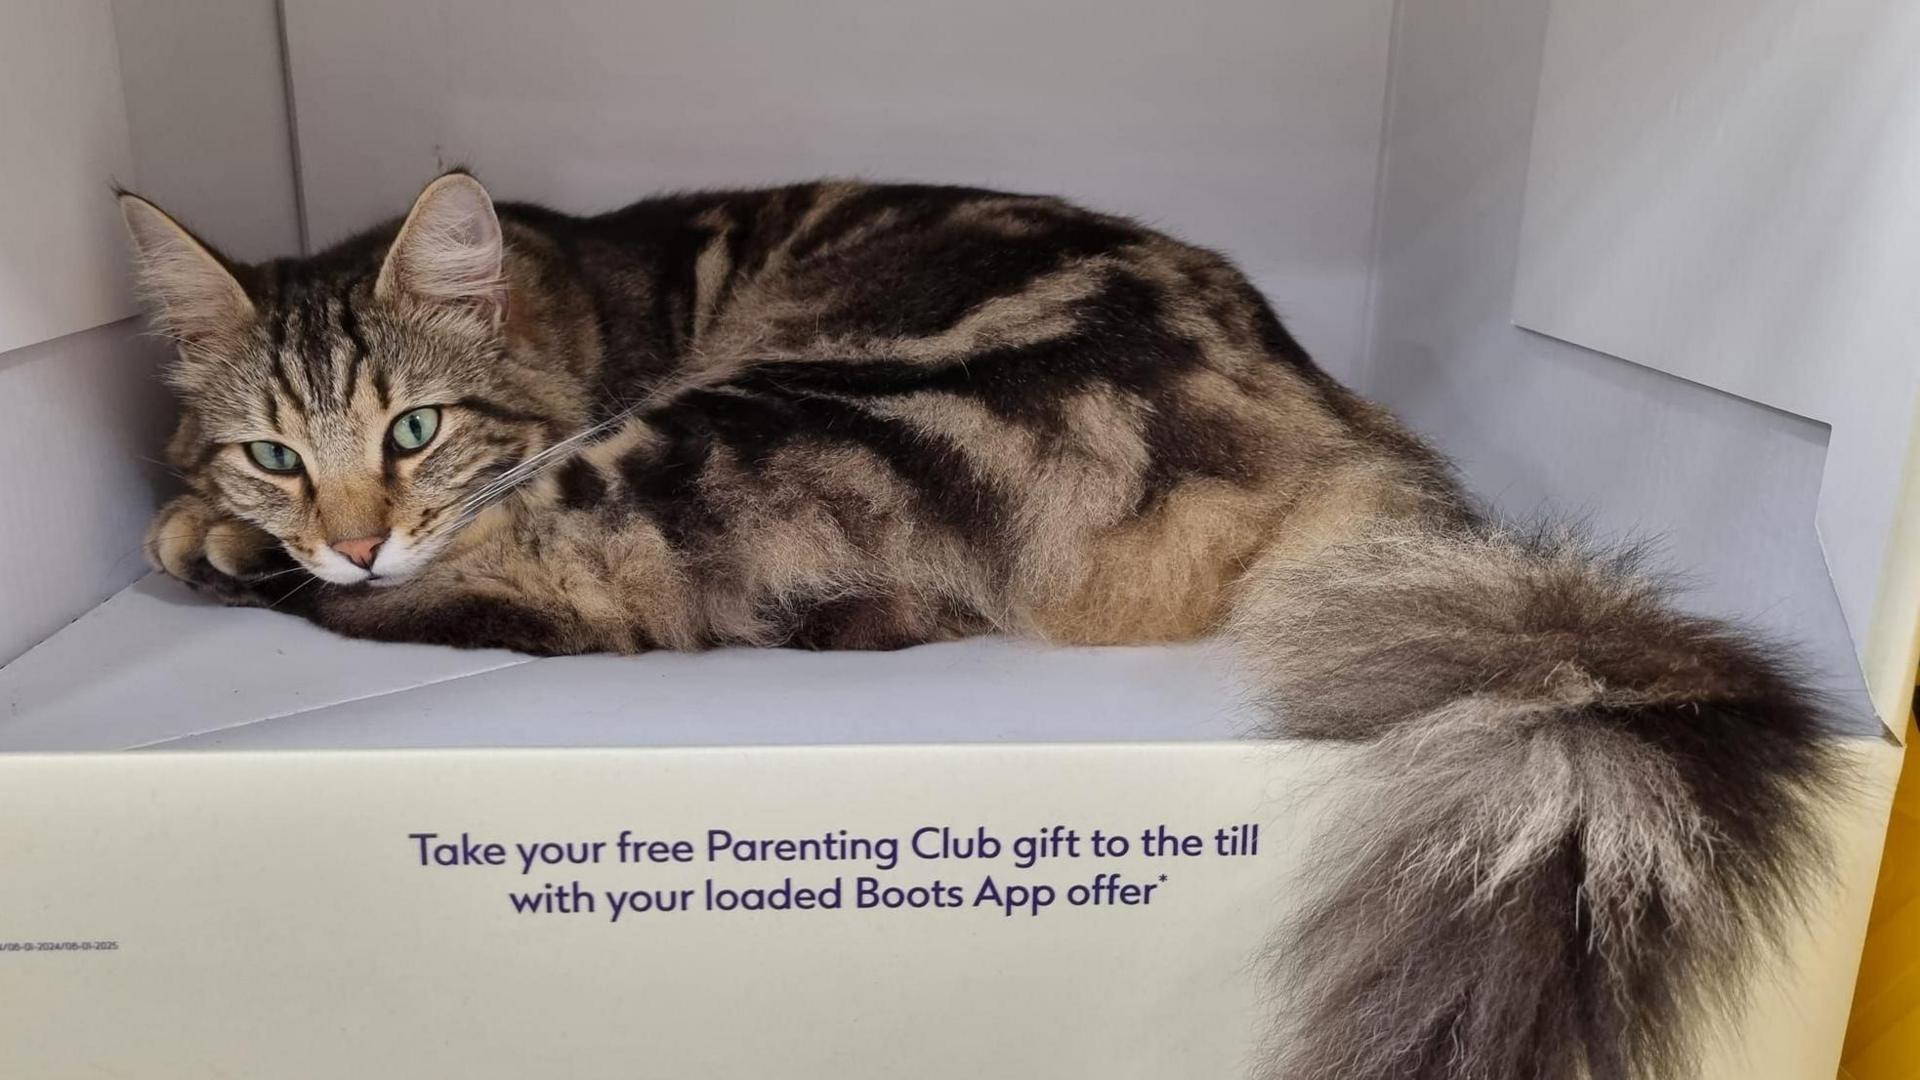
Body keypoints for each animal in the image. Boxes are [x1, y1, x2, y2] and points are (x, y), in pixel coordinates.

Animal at [116, 174, 1827, 1076]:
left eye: (412, 431)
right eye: (276, 448)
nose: (347, 532)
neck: (579, 305)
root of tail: (1333, 426)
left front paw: (209, 537)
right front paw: (210, 512)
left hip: (766, 413)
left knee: (605, 611)